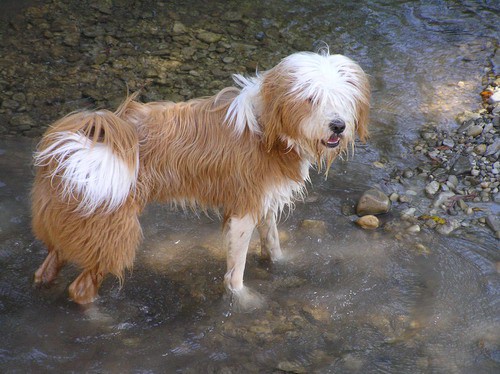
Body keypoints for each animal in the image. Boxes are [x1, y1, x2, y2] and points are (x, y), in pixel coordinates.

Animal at [30, 50, 368, 310]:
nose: (338, 126)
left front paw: (284, 266)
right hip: (113, 232)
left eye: (343, 98)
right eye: (312, 98)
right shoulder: (243, 212)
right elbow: (235, 272)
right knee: (80, 289)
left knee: (47, 268)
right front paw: (244, 301)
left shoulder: (265, 202)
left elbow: (273, 244)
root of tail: (75, 144)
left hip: (74, 225)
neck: (267, 128)